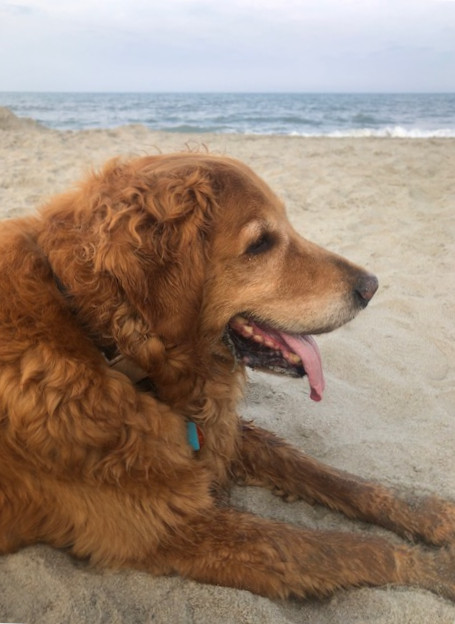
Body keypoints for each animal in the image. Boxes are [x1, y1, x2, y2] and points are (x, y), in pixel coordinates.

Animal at [0, 152, 455, 600]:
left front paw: (430, 514)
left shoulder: (219, 433)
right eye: (260, 243)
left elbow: (320, 472)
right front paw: (441, 568)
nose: (371, 286)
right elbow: (350, 548)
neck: (106, 342)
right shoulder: (170, 527)